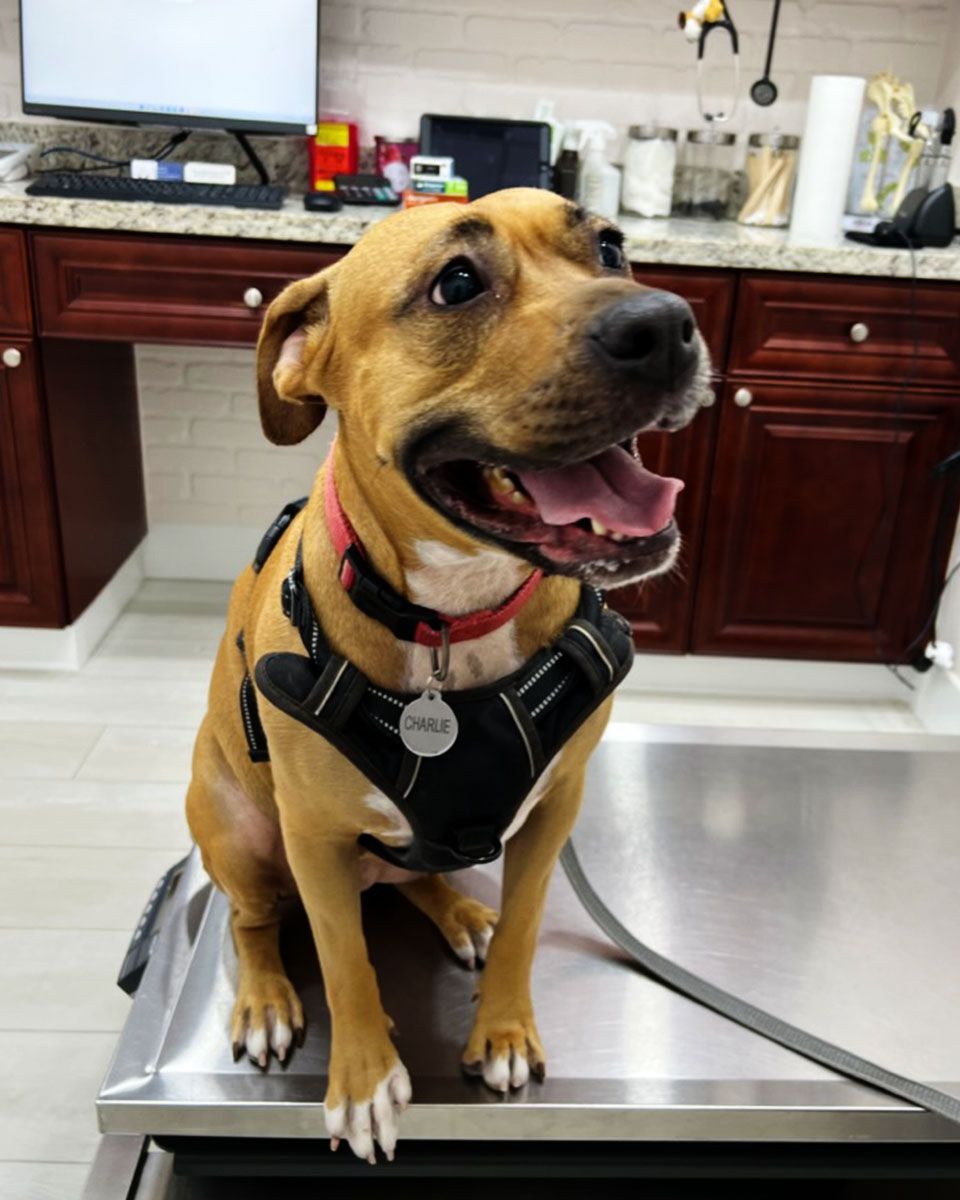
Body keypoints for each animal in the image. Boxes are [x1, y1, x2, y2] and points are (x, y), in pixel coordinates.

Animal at [187, 187, 710, 1161]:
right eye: (457, 284)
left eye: (612, 248)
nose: (666, 324)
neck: (455, 613)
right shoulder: (314, 837)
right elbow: (345, 962)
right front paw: (361, 1080)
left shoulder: (556, 805)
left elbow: (528, 927)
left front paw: (501, 1030)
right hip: (238, 831)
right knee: (253, 918)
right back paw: (267, 998)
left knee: (418, 876)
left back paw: (462, 912)